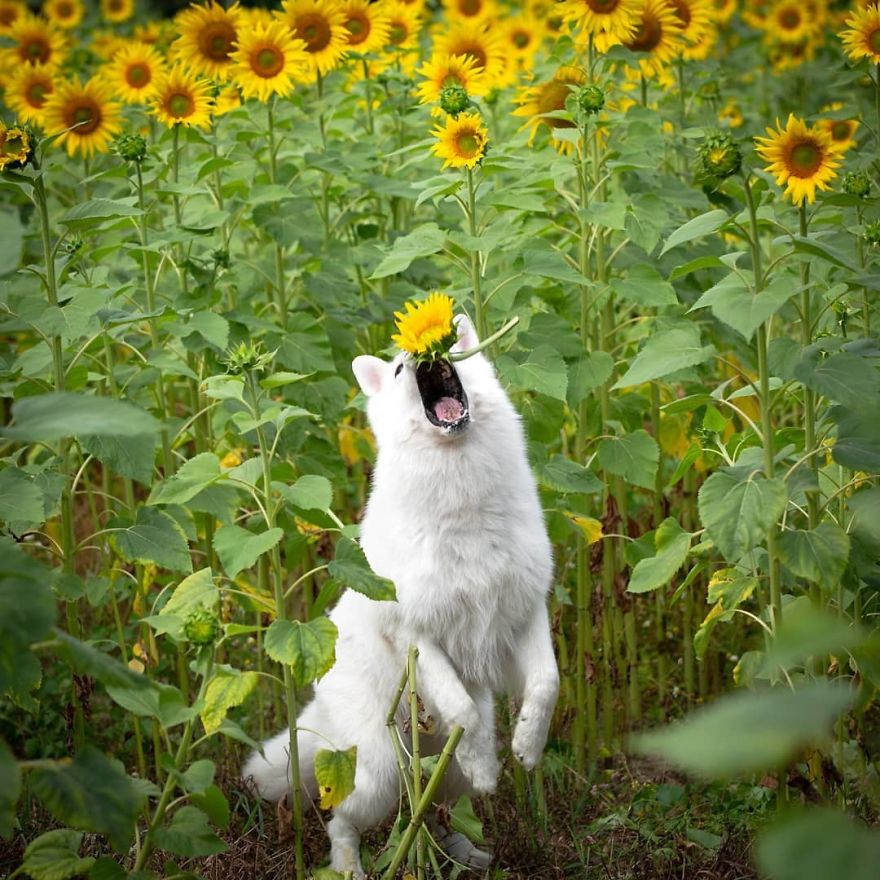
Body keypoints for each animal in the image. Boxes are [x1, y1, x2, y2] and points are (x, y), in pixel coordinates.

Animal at [242, 312, 556, 876]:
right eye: (393, 370)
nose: (418, 354)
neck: (465, 506)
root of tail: (318, 705)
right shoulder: (416, 634)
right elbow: (463, 709)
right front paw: (486, 765)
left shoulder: (525, 612)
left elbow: (545, 685)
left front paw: (526, 748)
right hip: (380, 771)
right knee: (343, 822)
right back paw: (351, 867)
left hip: (438, 770)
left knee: (431, 810)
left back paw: (463, 852)